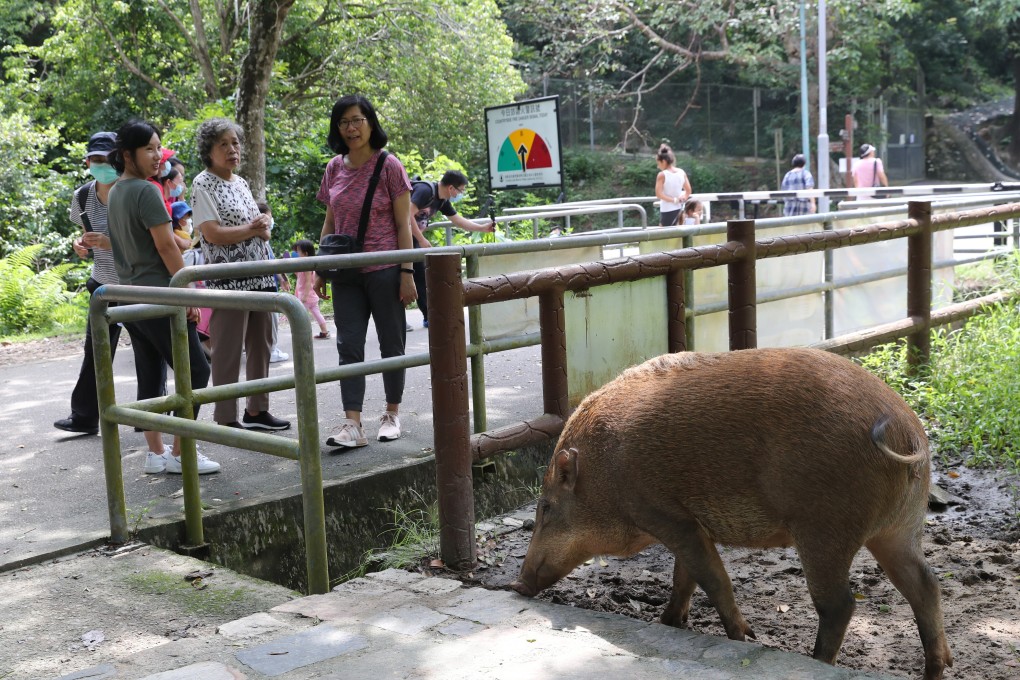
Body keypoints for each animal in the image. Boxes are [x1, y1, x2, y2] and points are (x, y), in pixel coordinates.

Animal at [512, 348, 952, 680]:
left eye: (546, 508)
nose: (516, 585)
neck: (604, 472)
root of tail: (904, 430)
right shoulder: (689, 522)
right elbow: (684, 578)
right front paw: (667, 624)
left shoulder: (667, 515)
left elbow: (712, 578)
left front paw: (742, 638)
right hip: (899, 528)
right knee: (926, 584)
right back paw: (937, 670)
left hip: (825, 527)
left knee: (840, 604)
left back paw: (814, 662)